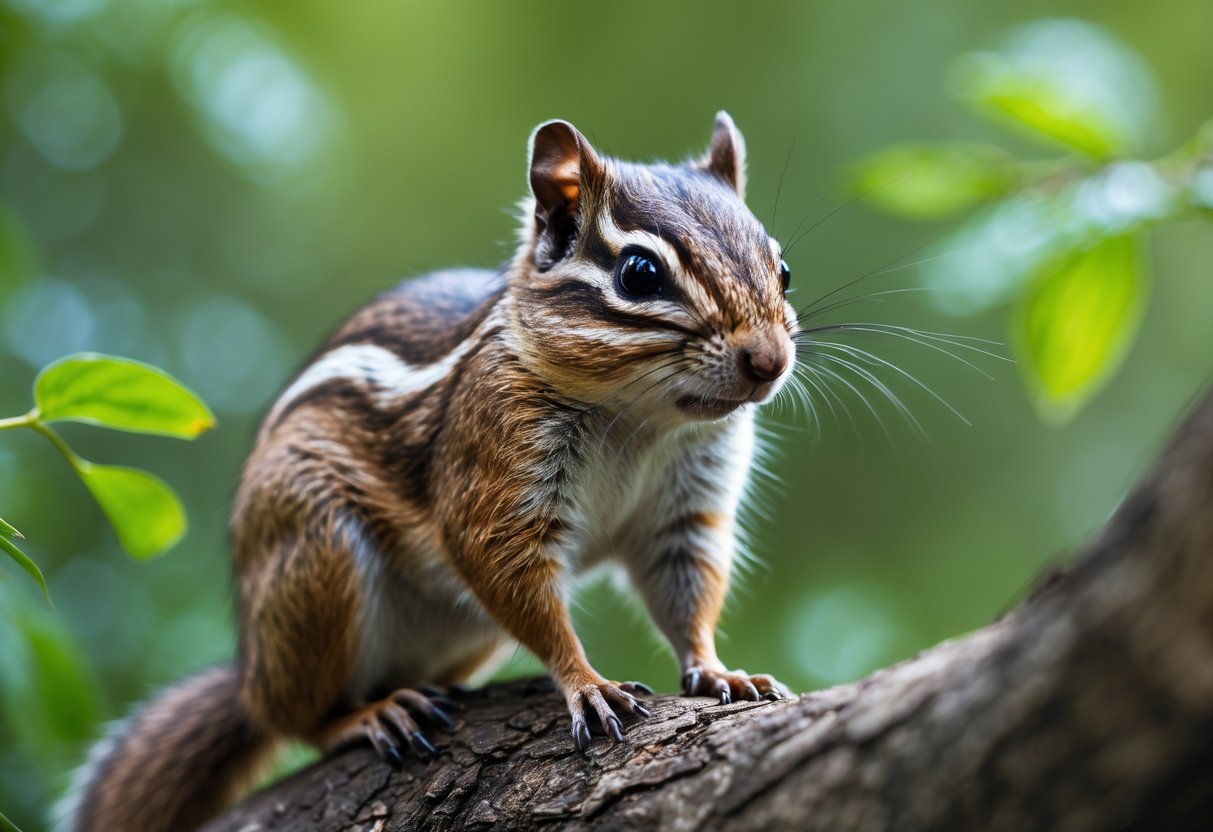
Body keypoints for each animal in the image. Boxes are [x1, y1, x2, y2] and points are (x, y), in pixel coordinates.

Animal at [65, 111, 797, 832]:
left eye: (783, 269)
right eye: (640, 273)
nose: (769, 360)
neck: (640, 421)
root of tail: (251, 676)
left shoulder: (686, 508)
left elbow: (687, 594)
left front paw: (720, 673)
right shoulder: (493, 466)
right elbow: (512, 579)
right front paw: (587, 683)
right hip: (315, 560)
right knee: (301, 719)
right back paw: (371, 713)